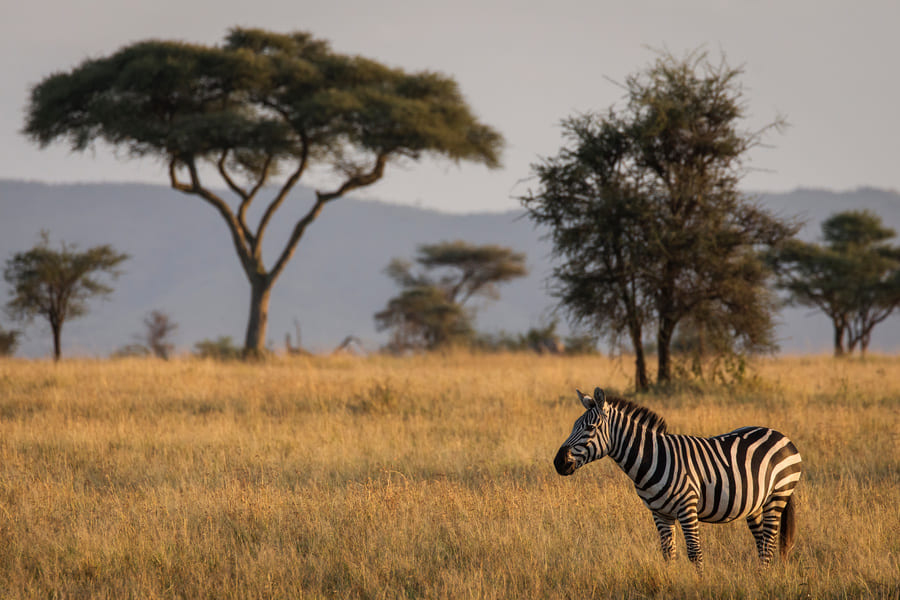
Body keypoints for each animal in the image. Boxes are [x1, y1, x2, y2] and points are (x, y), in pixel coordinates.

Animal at [552, 386, 804, 568]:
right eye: (574, 426)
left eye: (590, 428)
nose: (558, 462)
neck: (651, 458)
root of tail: (780, 435)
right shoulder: (660, 513)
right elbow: (668, 553)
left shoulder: (687, 507)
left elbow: (694, 553)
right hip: (755, 504)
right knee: (761, 542)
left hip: (778, 495)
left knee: (769, 543)